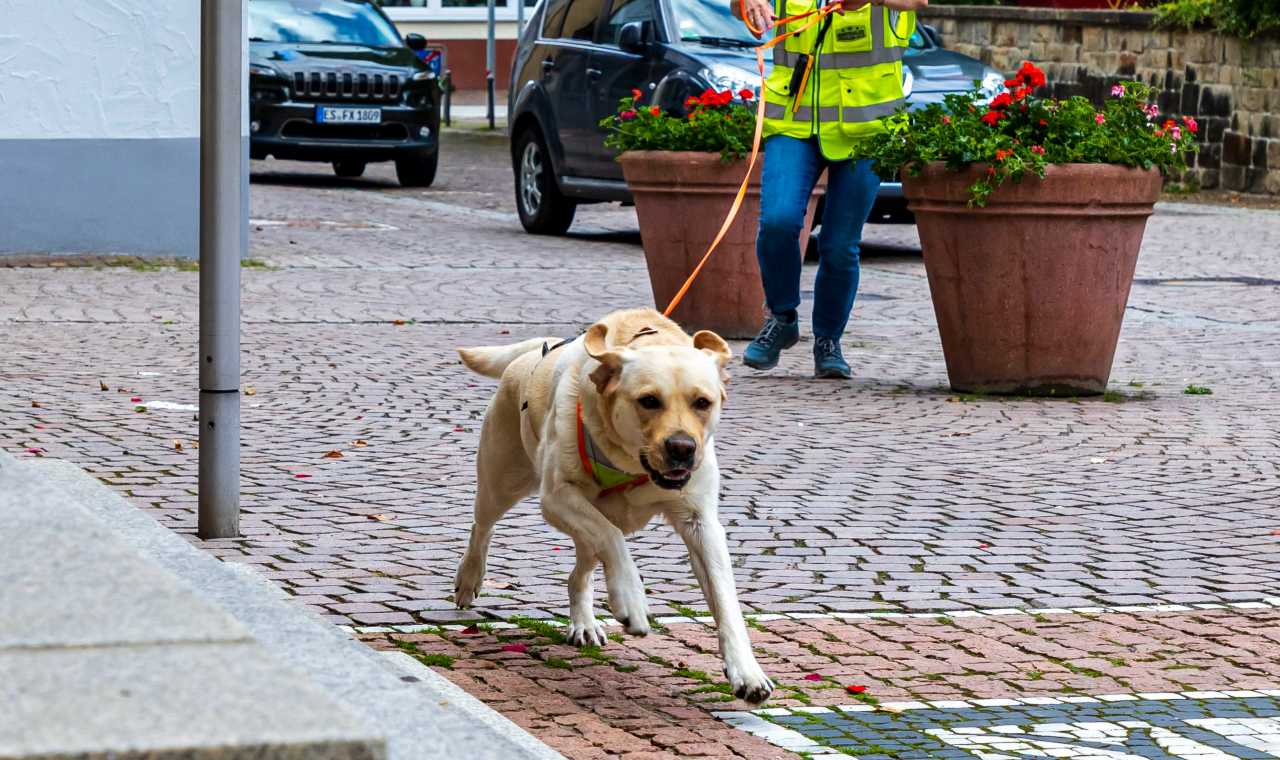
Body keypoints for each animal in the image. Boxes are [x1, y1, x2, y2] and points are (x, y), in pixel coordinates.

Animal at [460, 304, 773, 701]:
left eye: (702, 402)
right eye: (649, 401)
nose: (682, 448)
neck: (630, 466)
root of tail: (535, 352)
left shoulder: (701, 522)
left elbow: (725, 599)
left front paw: (747, 672)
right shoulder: (557, 496)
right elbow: (612, 539)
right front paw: (631, 600)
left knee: (578, 573)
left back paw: (584, 623)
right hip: (502, 480)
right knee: (482, 527)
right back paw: (468, 579)